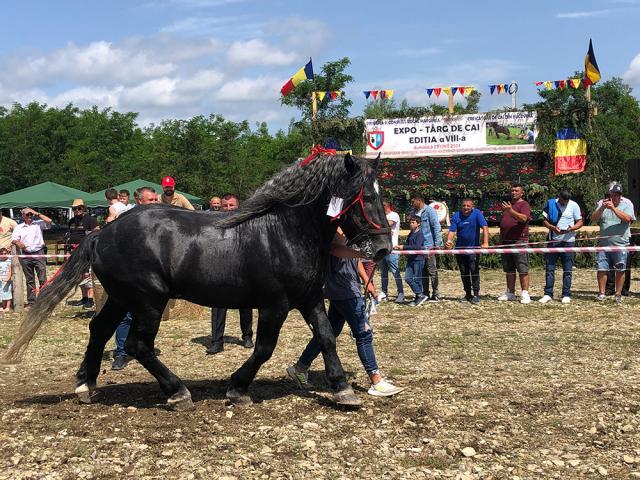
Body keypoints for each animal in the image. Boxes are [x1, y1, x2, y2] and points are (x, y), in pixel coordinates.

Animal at [5, 153, 392, 408]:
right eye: (366, 196)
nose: (384, 248)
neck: (284, 231)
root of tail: (101, 233)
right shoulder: (275, 304)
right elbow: (264, 347)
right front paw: (237, 388)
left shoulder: (309, 298)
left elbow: (326, 337)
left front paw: (342, 389)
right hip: (148, 300)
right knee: (138, 345)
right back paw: (177, 392)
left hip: (121, 297)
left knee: (99, 330)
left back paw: (86, 386)